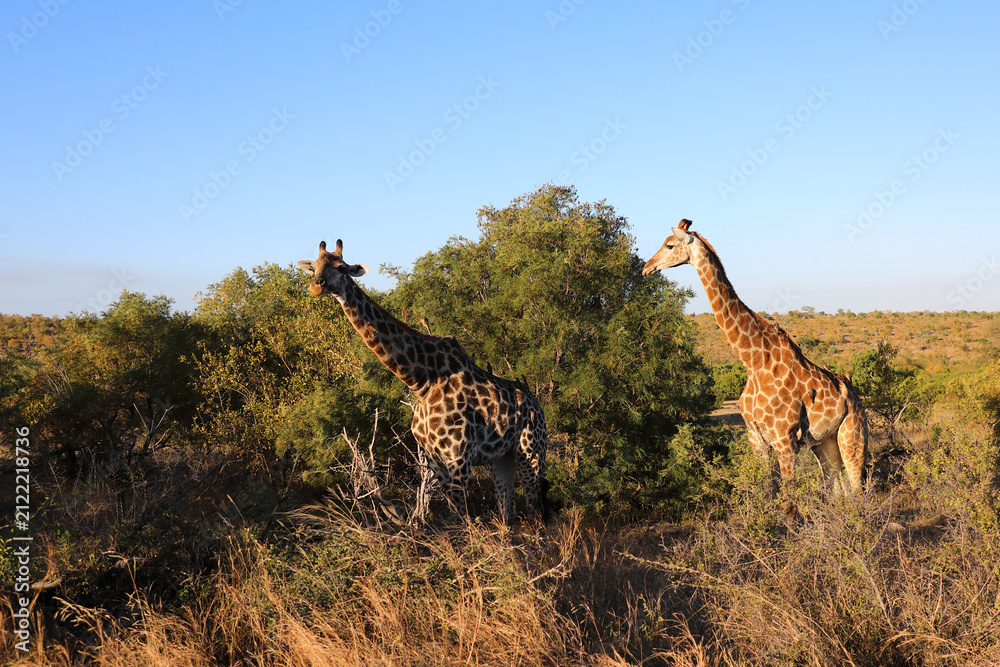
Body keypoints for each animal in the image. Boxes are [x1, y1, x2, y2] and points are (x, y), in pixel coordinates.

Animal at [298, 240, 547, 523]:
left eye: (341, 267)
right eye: (314, 267)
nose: (316, 286)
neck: (420, 381)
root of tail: (538, 405)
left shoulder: (458, 458)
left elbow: (465, 522)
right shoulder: (435, 459)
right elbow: (458, 520)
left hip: (531, 451)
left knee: (536, 509)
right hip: (502, 457)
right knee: (508, 513)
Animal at [642, 220, 868, 506]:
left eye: (670, 245)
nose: (647, 267)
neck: (754, 360)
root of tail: (856, 397)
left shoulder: (785, 439)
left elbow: (788, 503)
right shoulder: (756, 438)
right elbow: (766, 494)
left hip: (853, 436)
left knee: (858, 488)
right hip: (824, 442)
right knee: (839, 488)